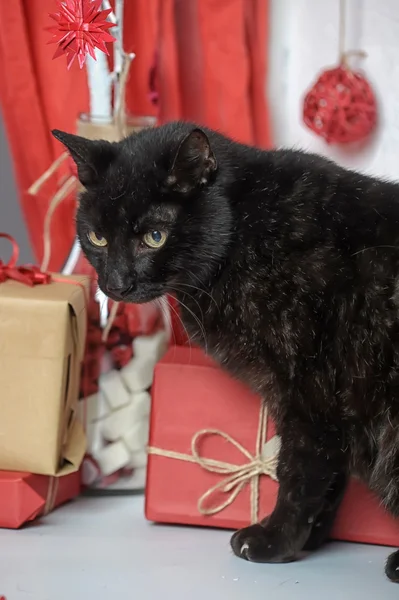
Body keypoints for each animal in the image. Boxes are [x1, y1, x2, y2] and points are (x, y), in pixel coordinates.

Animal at [54, 120, 399, 580]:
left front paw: (273, 540)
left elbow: (300, 471)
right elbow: (330, 476)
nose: (117, 284)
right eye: (98, 237)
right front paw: (311, 539)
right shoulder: (329, 403)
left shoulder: (308, 390)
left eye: (154, 237)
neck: (246, 233)